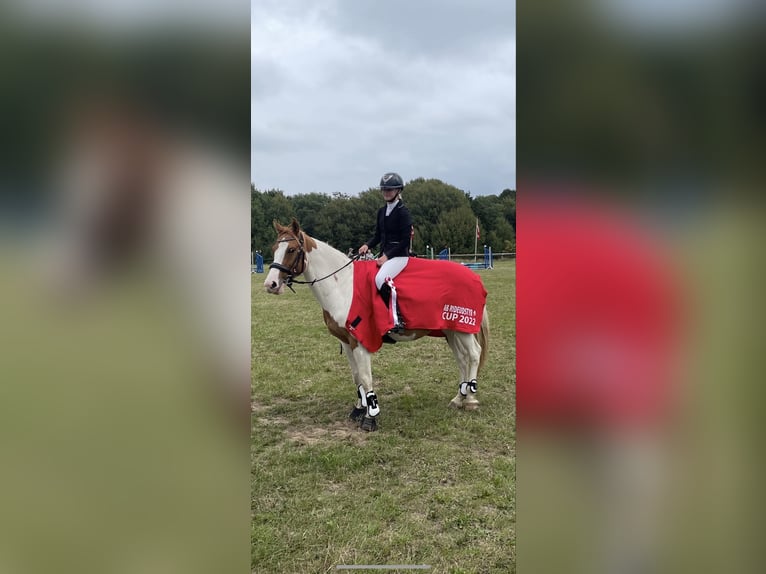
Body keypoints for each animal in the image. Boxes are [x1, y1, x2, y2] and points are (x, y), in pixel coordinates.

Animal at [264, 219, 492, 432]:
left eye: (291, 249)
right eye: (274, 249)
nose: (270, 285)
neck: (343, 285)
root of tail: (473, 276)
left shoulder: (360, 340)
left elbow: (366, 377)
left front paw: (370, 417)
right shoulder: (347, 342)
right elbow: (356, 376)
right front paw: (358, 408)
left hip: (462, 328)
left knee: (473, 354)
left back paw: (470, 399)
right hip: (451, 331)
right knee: (461, 359)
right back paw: (458, 398)